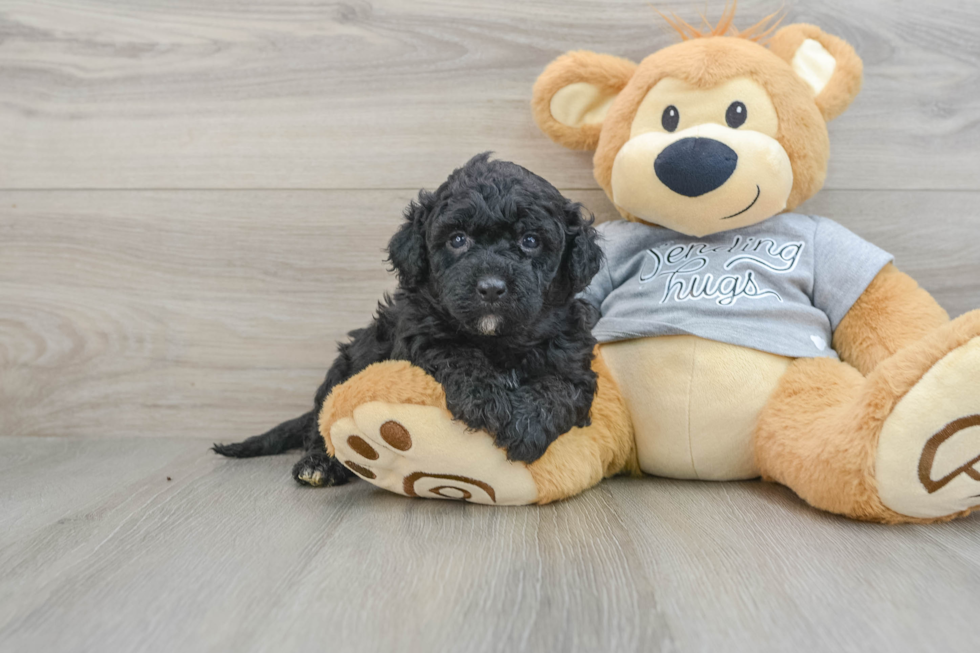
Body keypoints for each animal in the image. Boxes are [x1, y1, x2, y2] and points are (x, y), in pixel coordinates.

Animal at [214, 154, 600, 484]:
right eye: (457, 239)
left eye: (530, 240)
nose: (491, 288)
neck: (496, 338)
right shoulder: (421, 337)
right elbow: (460, 358)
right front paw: (491, 402)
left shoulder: (572, 356)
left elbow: (559, 388)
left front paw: (528, 425)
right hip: (344, 368)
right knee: (321, 424)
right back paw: (319, 464)